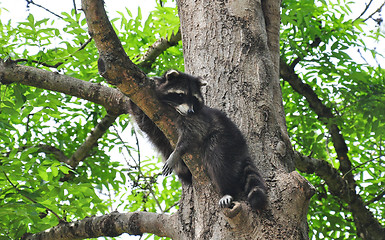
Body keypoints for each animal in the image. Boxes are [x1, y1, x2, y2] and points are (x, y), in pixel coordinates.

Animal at [129, 70, 268, 211]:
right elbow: (144, 123)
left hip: (226, 138)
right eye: (181, 95)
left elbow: (194, 133)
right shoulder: (153, 112)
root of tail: (242, 145)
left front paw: (178, 151)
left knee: (217, 159)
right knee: (181, 169)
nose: (190, 111)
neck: (173, 108)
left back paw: (227, 190)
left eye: (194, 99)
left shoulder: (198, 118)